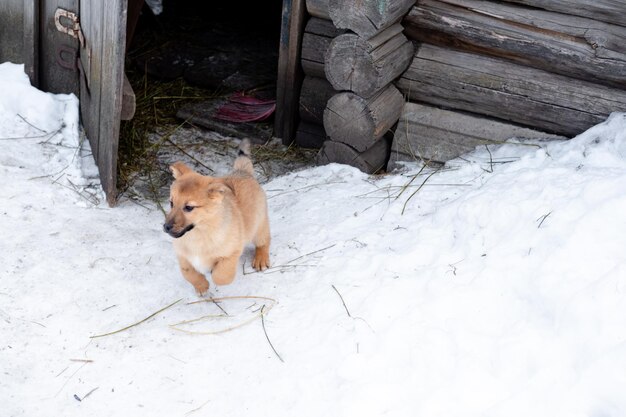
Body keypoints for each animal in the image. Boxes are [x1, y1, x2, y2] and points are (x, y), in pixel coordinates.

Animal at [162, 140, 270, 292]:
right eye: (171, 203)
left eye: (189, 207)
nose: (166, 227)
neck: (198, 235)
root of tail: (242, 172)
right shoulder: (183, 256)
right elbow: (188, 273)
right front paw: (202, 286)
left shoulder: (231, 253)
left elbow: (221, 276)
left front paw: (213, 275)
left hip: (259, 224)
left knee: (264, 241)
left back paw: (261, 259)